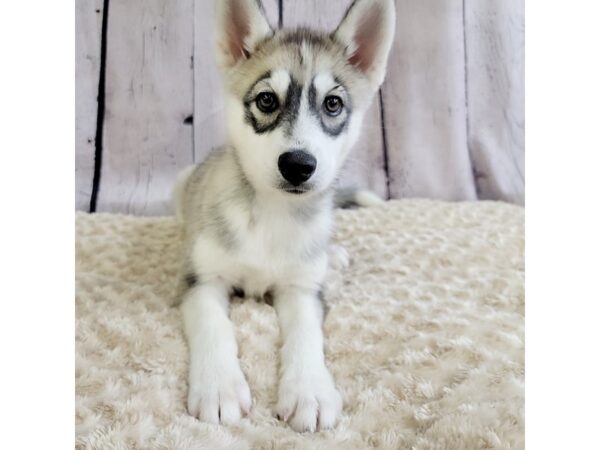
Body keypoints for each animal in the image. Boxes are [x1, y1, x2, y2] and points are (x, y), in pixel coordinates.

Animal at [175, 0, 394, 432]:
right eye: (266, 100)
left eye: (332, 104)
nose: (298, 165)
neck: (273, 214)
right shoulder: (202, 280)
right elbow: (213, 324)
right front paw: (219, 388)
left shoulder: (302, 288)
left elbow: (306, 334)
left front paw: (309, 390)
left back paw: (334, 254)